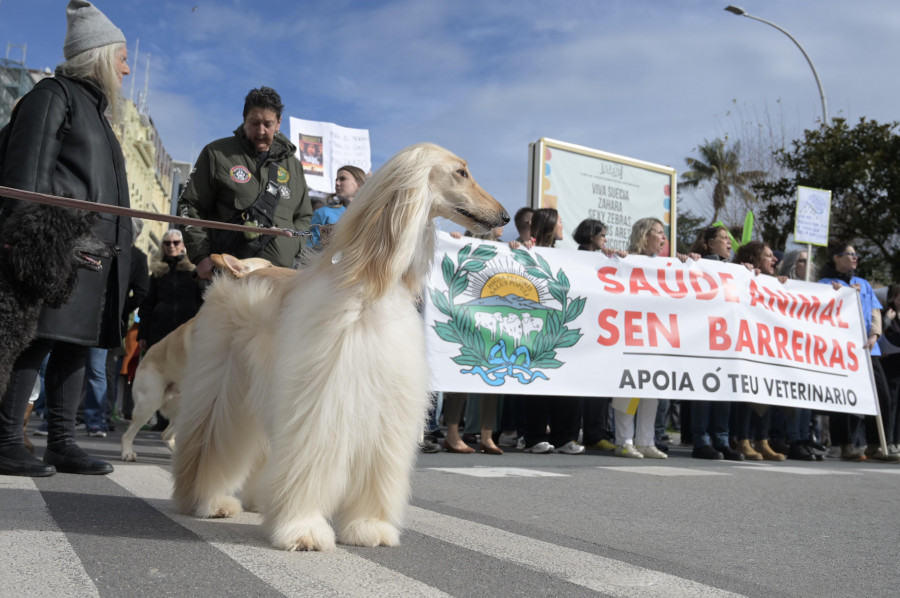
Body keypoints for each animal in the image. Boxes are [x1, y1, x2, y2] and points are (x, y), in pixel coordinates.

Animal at [169, 142, 506, 552]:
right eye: (461, 173)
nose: (503, 216)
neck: (372, 283)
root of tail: (243, 271)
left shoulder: (385, 400)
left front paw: (368, 525)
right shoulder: (325, 394)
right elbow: (312, 458)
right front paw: (302, 528)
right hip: (223, 379)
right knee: (210, 438)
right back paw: (206, 499)